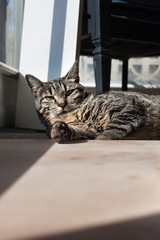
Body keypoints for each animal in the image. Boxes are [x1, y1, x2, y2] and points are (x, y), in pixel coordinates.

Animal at [25, 61, 160, 142]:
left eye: (68, 92)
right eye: (50, 98)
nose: (62, 104)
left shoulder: (130, 107)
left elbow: (114, 128)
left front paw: (104, 138)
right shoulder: (87, 131)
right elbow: (76, 132)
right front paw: (60, 130)